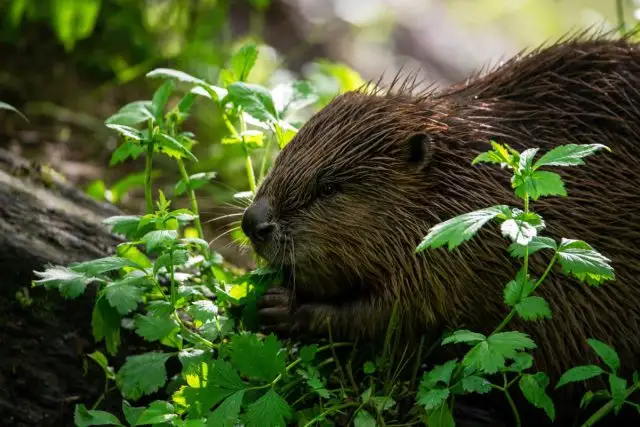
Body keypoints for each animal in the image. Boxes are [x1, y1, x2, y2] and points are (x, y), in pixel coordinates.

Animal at [239, 33, 640, 424]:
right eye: (284, 153)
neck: (466, 181)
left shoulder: (452, 261)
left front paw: (278, 307)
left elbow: (387, 318)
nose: (254, 222)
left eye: (327, 188)